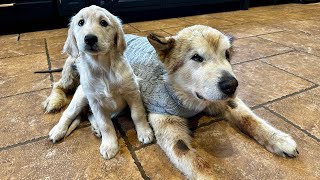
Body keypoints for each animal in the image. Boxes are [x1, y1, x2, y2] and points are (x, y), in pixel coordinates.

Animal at [47, 5, 154, 160]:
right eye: (80, 22)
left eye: (103, 23)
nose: (90, 38)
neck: (102, 68)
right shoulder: (95, 102)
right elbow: (105, 124)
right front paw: (109, 145)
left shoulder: (132, 92)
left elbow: (137, 114)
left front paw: (145, 132)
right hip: (81, 96)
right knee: (68, 113)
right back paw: (58, 130)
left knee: (89, 115)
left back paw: (95, 128)